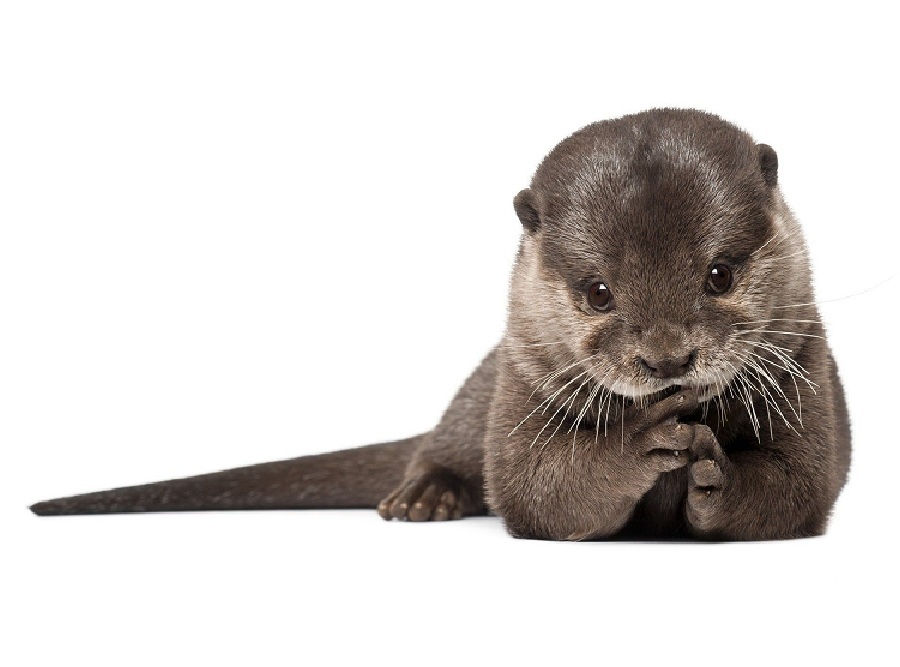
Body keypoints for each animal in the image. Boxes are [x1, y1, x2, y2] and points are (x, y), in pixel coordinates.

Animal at [30, 109, 851, 541]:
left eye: (720, 274)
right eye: (597, 292)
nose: (667, 359)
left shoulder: (808, 368)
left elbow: (800, 484)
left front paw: (718, 470)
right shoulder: (521, 382)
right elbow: (536, 488)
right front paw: (643, 440)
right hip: (480, 389)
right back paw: (422, 497)